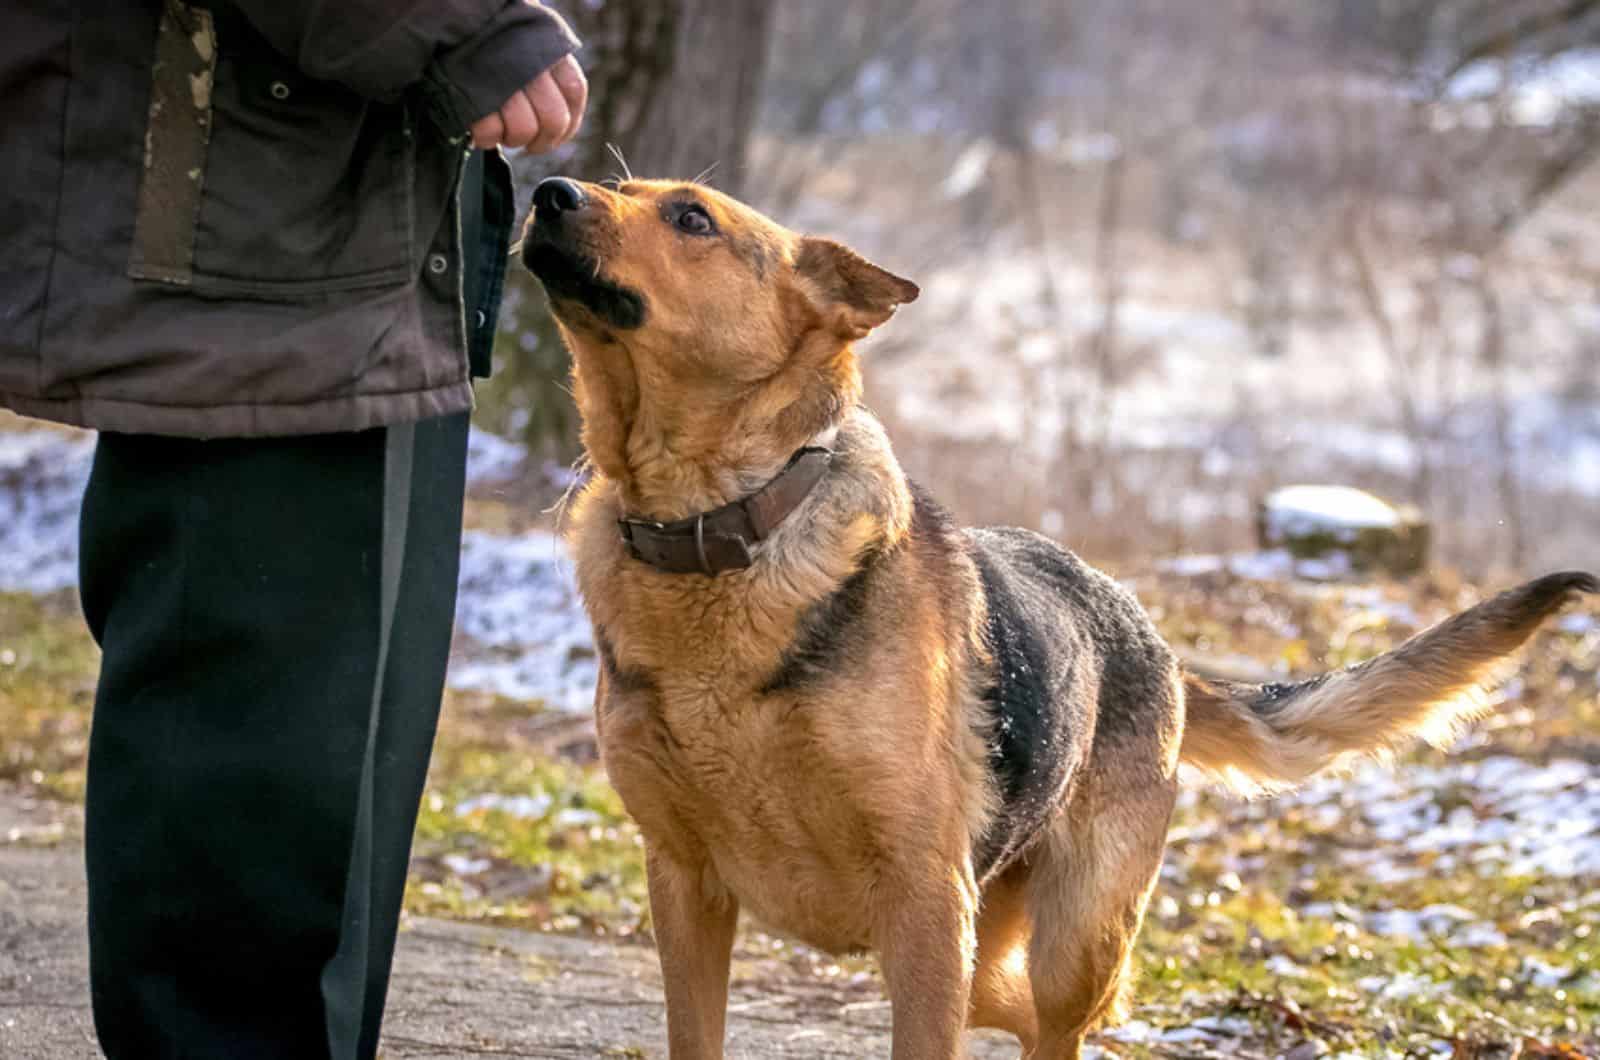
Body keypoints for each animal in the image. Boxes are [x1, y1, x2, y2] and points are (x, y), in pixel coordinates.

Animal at [518, 176, 1593, 1060]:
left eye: (691, 218)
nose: (546, 189)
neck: (716, 528)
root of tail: (1155, 644)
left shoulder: (923, 900)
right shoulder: (687, 887)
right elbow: (693, 1032)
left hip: (1068, 936)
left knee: (1067, 1022)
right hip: (994, 944)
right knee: (1035, 1015)